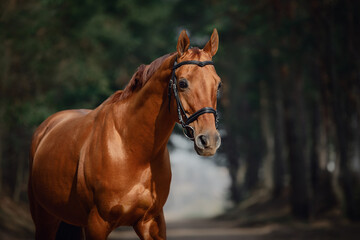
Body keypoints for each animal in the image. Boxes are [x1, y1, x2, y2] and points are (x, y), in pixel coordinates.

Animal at [27, 29, 222, 239]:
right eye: (183, 83)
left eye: (218, 85)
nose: (209, 140)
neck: (132, 150)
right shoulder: (97, 224)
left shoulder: (151, 222)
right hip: (45, 218)